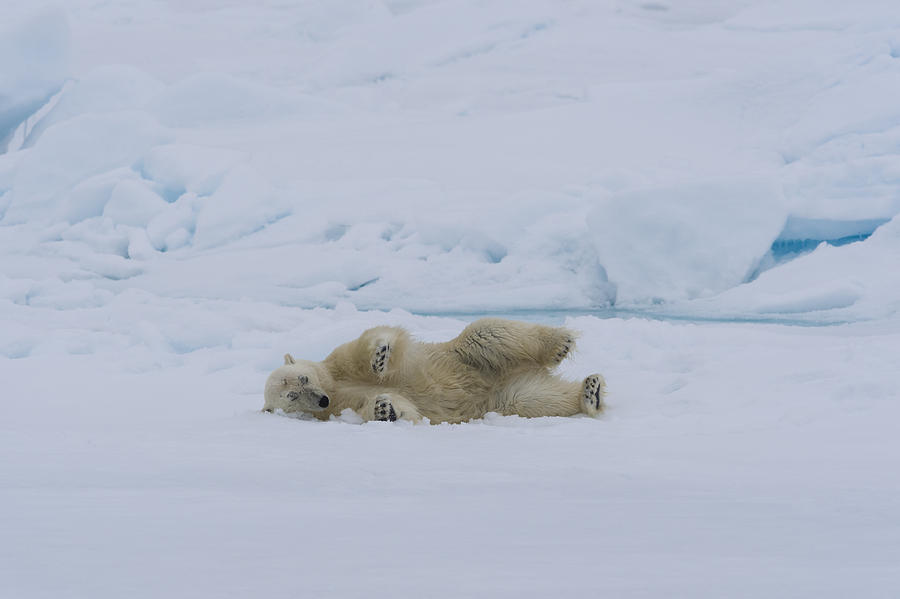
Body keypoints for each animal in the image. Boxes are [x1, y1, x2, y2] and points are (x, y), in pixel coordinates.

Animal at [264, 316, 608, 424]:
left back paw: (559, 343)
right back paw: (589, 394)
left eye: (304, 377)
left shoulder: (335, 365)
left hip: (469, 361)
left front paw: (380, 354)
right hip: (500, 397)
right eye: (292, 396)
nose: (320, 399)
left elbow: (362, 351)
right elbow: (374, 404)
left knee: (487, 334)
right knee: (531, 398)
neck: (333, 387)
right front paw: (384, 408)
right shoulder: (337, 408)